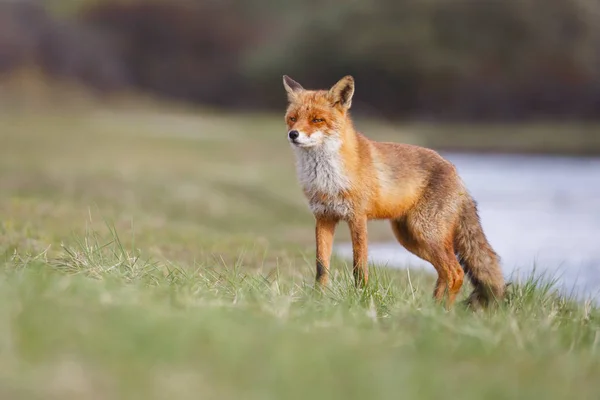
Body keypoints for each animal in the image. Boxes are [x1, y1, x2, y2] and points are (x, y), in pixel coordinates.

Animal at [282, 75, 506, 308]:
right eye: (292, 118)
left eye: (317, 120)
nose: (293, 134)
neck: (328, 180)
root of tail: (455, 171)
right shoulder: (324, 217)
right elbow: (321, 267)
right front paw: (317, 299)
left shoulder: (357, 218)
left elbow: (359, 267)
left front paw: (361, 299)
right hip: (411, 238)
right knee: (444, 273)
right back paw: (432, 309)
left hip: (426, 233)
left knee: (456, 273)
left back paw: (444, 312)